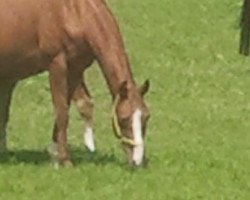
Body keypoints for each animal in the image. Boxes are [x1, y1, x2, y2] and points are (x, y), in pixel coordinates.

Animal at [0, 0, 149, 166]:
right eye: (123, 119)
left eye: (146, 117)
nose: (137, 161)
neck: (74, 13)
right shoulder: (57, 65)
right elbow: (62, 112)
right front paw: (65, 160)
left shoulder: (75, 69)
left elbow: (72, 106)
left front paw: (55, 153)